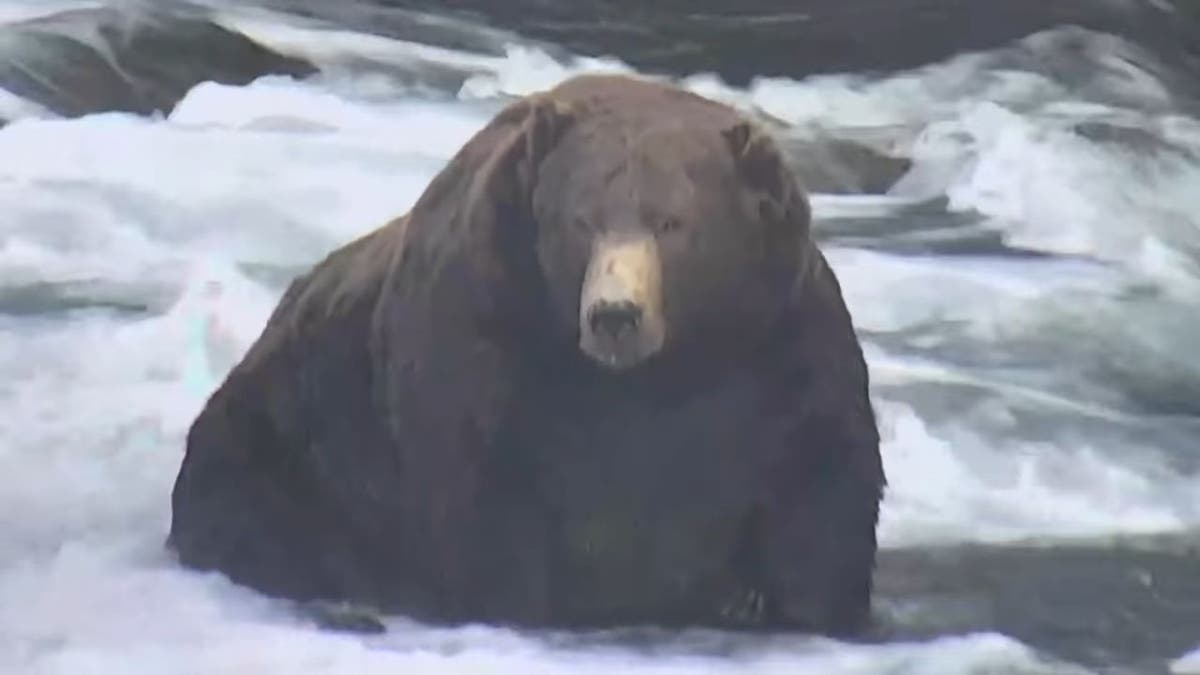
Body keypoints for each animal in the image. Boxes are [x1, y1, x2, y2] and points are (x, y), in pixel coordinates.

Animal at [166, 73, 883, 634]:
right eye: (583, 219)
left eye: (673, 221)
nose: (615, 315)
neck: (655, 376)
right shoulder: (486, 349)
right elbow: (484, 507)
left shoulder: (775, 359)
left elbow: (822, 501)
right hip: (284, 447)